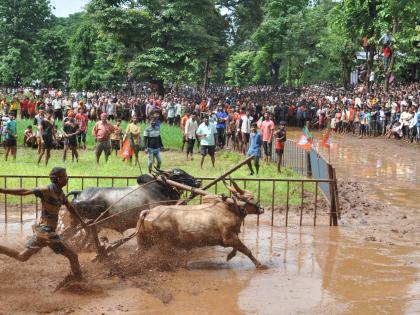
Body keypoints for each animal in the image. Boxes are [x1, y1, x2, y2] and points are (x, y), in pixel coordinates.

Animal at [136, 183, 264, 270]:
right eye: (251, 198)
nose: (262, 208)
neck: (230, 208)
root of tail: (148, 212)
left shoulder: (232, 237)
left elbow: (238, 249)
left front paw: (230, 256)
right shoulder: (229, 237)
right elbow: (246, 250)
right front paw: (260, 265)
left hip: (143, 242)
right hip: (163, 243)